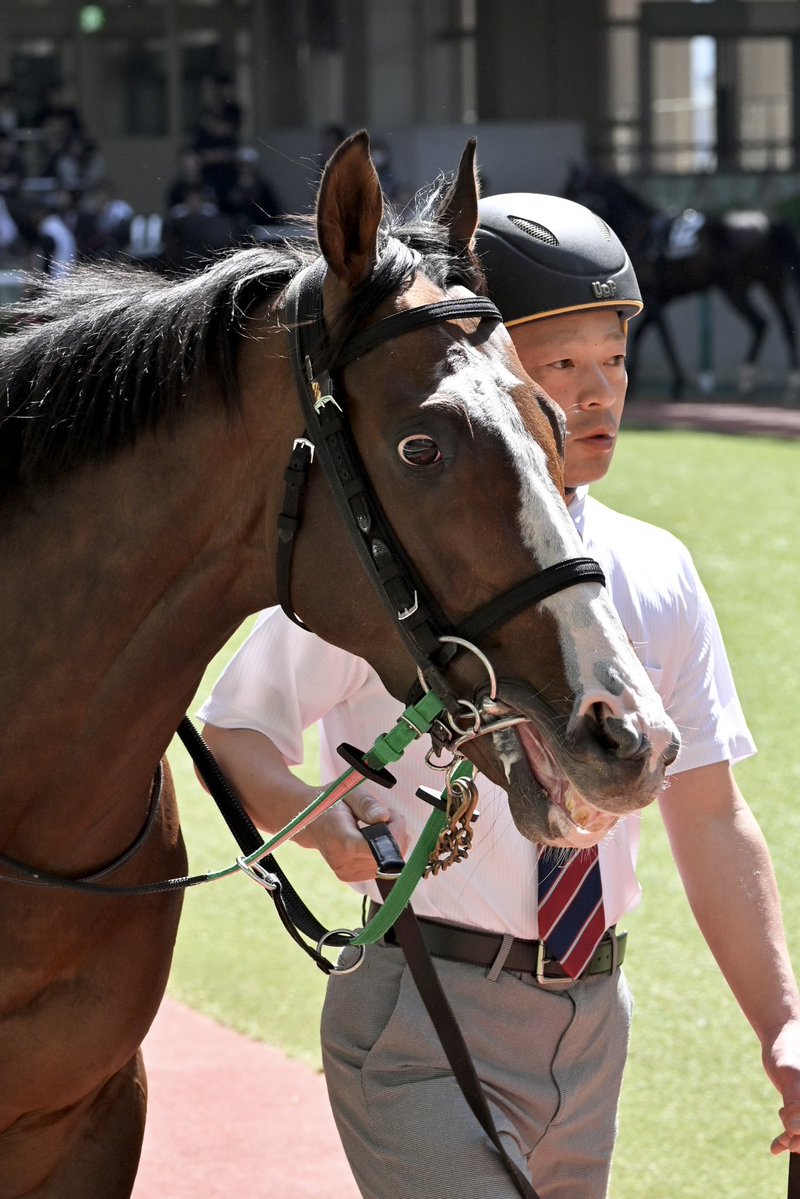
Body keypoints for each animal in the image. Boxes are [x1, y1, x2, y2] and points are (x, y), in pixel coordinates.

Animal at [564, 164, 800, 401]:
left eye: (571, 186)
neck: (639, 229)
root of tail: (769, 222)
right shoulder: (660, 299)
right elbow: (644, 333)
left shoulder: (653, 298)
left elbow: (662, 336)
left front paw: (675, 382)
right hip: (773, 284)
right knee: (785, 325)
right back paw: (788, 382)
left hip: (735, 289)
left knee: (760, 323)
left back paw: (747, 379)